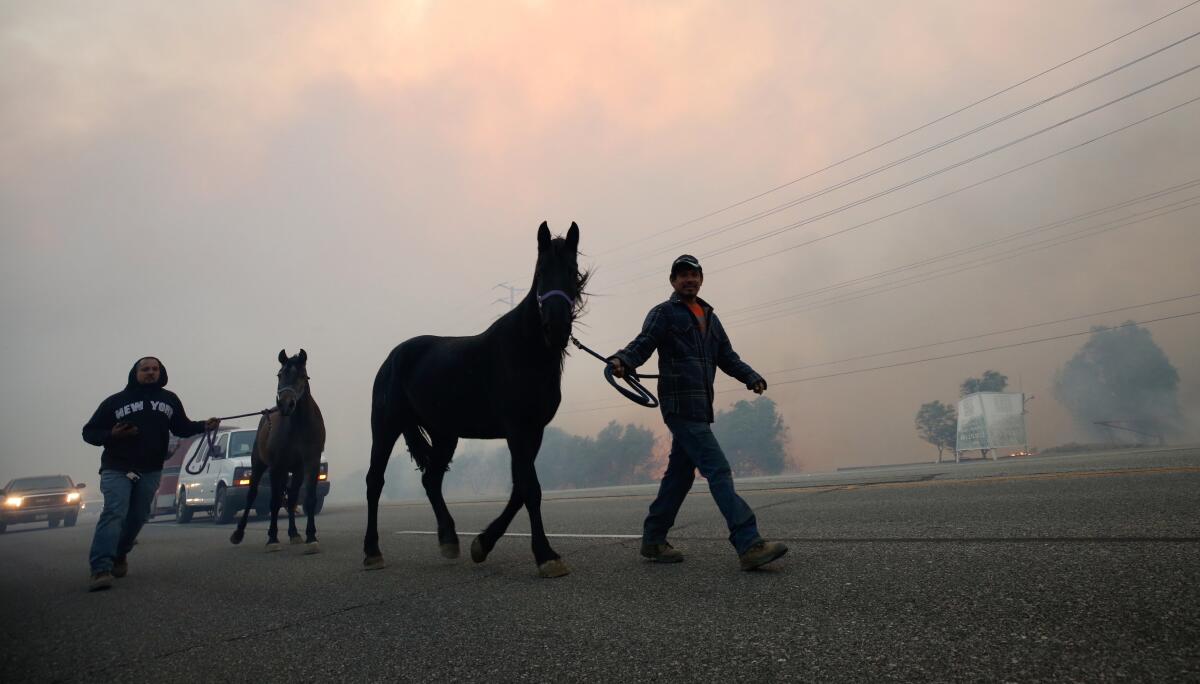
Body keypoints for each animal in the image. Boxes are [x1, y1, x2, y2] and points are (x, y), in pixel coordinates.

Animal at [226, 348, 324, 552]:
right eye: (280, 375)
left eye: (302, 375)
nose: (285, 405)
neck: (299, 426)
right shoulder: (276, 466)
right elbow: (274, 501)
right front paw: (272, 539)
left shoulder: (311, 462)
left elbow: (309, 498)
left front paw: (311, 537)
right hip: (259, 465)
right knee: (252, 495)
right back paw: (238, 533)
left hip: (294, 470)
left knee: (292, 497)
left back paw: (294, 534)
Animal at [364, 220, 590, 573]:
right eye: (540, 271)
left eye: (572, 269)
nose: (556, 327)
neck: (525, 351)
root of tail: (393, 357)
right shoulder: (516, 429)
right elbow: (530, 489)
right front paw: (545, 555)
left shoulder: (533, 431)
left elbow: (520, 489)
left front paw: (483, 543)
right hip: (386, 427)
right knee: (375, 481)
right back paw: (372, 551)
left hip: (445, 434)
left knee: (431, 481)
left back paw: (448, 540)